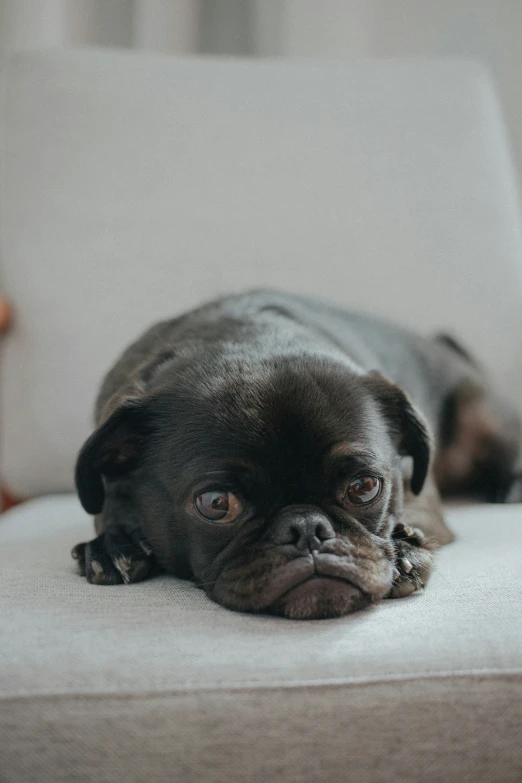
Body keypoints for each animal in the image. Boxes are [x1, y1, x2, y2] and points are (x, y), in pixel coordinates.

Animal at [70, 290, 520, 620]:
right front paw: (112, 544)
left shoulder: (417, 488)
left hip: (480, 411)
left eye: (364, 487)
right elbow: (108, 507)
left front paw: (405, 548)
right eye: (215, 503)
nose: (307, 529)